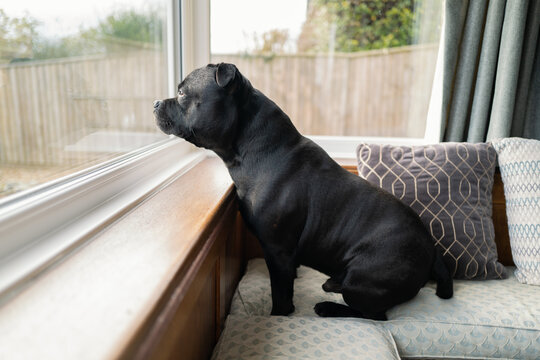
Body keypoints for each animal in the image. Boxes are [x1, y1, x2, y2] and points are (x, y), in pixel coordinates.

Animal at [154, 62, 454, 320]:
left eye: (182, 92)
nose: (156, 102)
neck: (254, 149)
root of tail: (431, 248)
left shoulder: (277, 253)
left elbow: (281, 296)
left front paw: (279, 316)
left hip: (363, 280)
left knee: (374, 314)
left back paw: (329, 307)